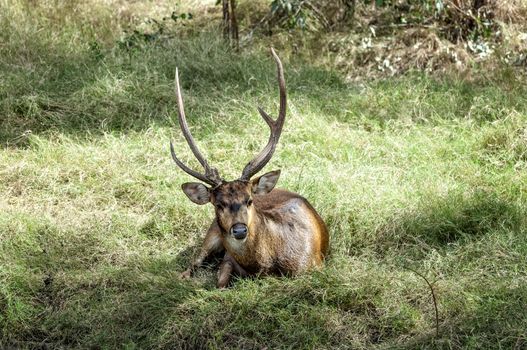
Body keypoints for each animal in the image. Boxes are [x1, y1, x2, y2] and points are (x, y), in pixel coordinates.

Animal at [172, 47, 330, 288]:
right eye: (218, 204)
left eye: (249, 200)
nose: (239, 230)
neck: (266, 265)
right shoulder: (228, 257)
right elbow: (220, 281)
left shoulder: (314, 265)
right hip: (210, 234)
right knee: (192, 263)